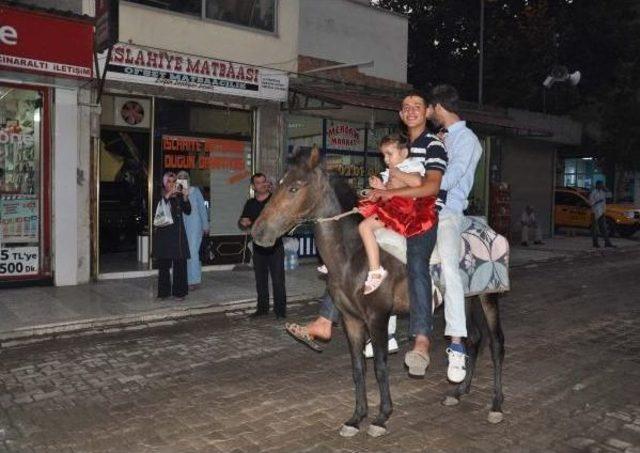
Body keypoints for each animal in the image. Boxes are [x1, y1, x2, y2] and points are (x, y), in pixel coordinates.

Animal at [251, 147, 504, 436]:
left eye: (294, 188)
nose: (258, 232)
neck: (354, 255)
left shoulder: (378, 318)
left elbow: (380, 367)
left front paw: (381, 417)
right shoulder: (351, 320)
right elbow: (358, 368)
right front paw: (356, 417)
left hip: (488, 297)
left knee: (496, 343)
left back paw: (496, 405)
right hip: (466, 300)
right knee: (473, 338)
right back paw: (460, 391)